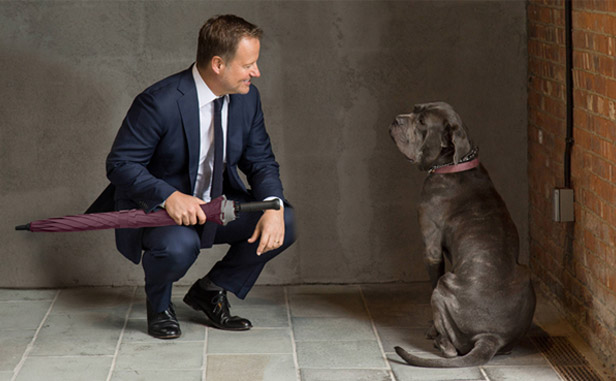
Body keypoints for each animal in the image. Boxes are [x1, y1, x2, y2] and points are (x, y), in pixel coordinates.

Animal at [390, 101, 536, 368]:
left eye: (422, 123)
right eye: (415, 109)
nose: (397, 119)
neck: (454, 164)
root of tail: (491, 336)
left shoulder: (431, 249)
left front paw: (431, 328)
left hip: (444, 286)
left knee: (451, 350)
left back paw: (440, 340)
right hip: (525, 276)